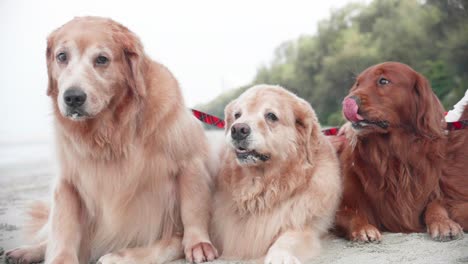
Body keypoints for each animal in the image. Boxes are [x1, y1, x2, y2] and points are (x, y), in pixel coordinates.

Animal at [5, 16, 218, 264]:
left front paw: (198, 243)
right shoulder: (68, 181)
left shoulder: (190, 163)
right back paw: (26, 251)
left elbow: (192, 210)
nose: (73, 97)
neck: (111, 131)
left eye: (102, 59)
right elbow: (63, 230)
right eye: (62, 56)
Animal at [210, 85, 342, 262]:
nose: (237, 129)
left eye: (271, 116)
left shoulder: (304, 226)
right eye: (237, 115)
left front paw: (279, 257)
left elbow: (287, 239)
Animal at [334, 61, 466, 241]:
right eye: (358, 84)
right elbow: (352, 214)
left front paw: (443, 223)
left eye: (383, 81)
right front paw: (363, 228)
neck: (391, 155)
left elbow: (435, 205)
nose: (346, 102)